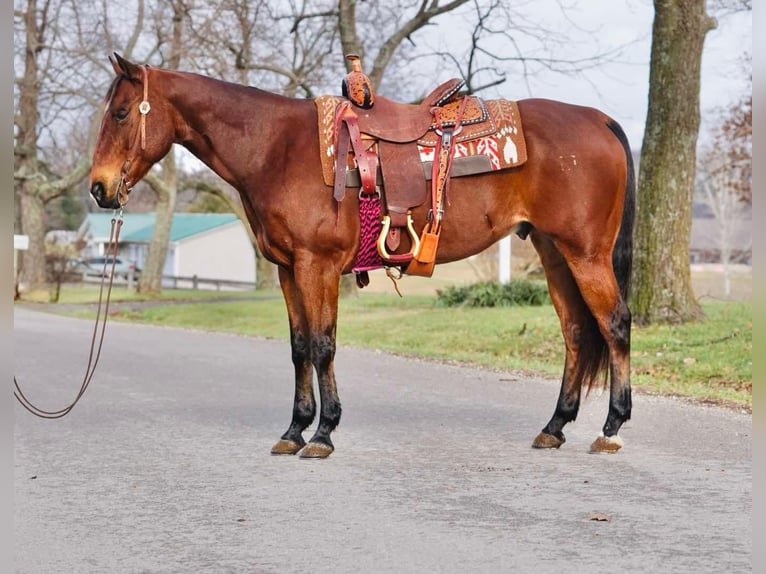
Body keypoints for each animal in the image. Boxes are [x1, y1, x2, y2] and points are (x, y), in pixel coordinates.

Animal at [89, 53, 635, 458]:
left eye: (120, 114)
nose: (98, 188)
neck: (275, 147)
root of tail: (600, 119)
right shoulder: (288, 269)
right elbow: (299, 347)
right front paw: (294, 430)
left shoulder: (319, 265)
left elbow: (322, 345)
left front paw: (323, 433)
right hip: (554, 253)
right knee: (575, 331)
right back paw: (555, 426)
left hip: (585, 253)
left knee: (614, 324)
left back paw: (610, 428)